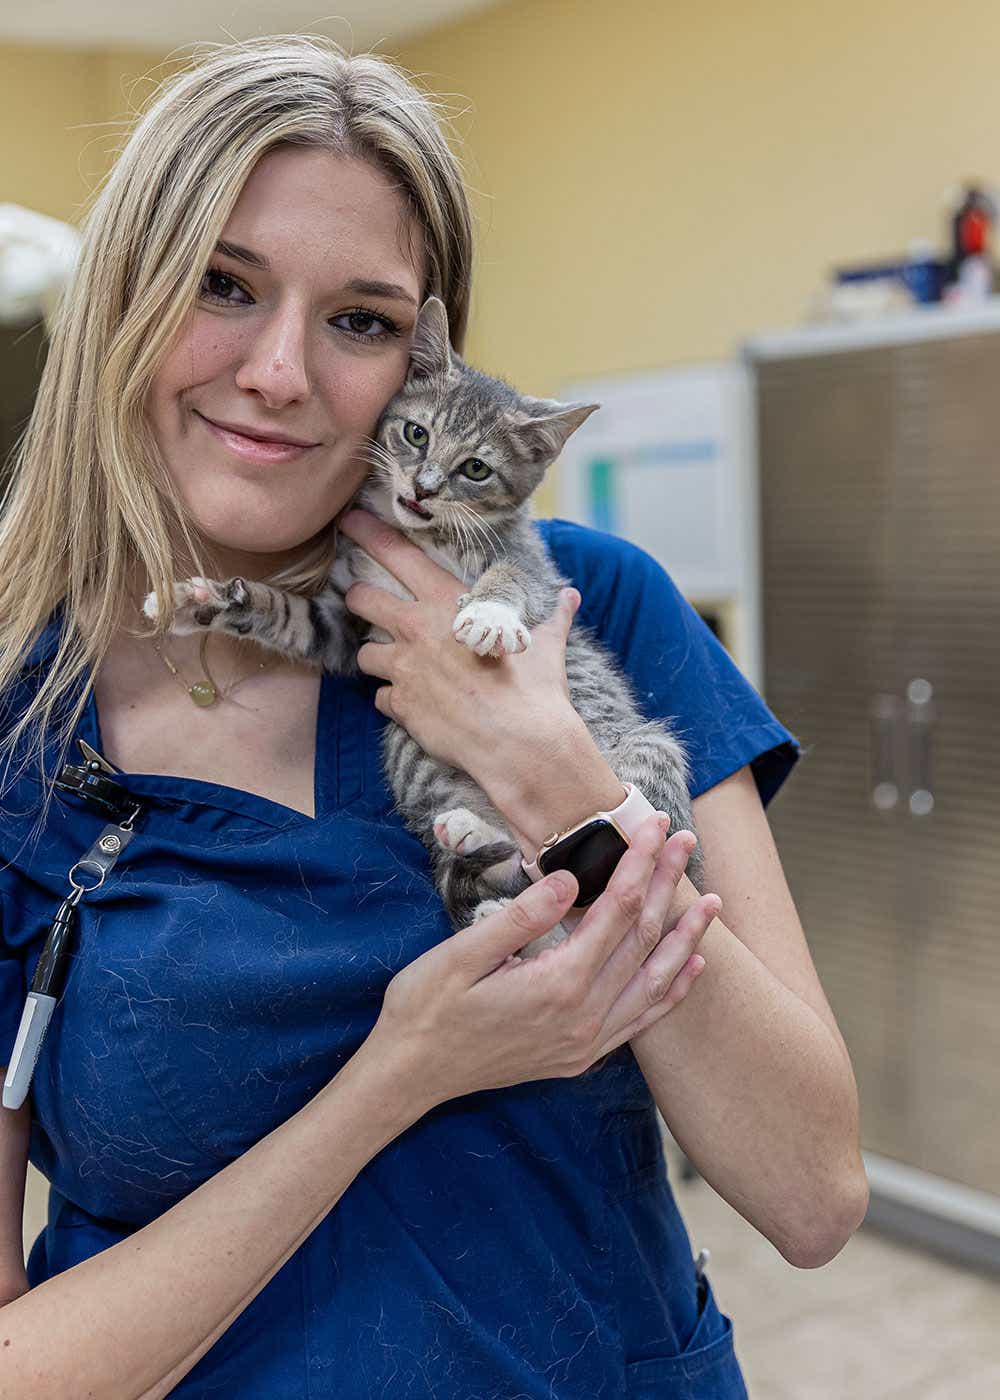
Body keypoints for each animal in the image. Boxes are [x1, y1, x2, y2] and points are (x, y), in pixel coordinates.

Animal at [144, 294, 700, 952]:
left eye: (477, 469)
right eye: (416, 433)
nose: (424, 488)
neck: (423, 538)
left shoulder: (537, 568)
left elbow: (515, 577)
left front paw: (489, 614)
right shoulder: (346, 621)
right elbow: (286, 614)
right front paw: (200, 601)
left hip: (648, 752)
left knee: (624, 857)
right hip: (413, 748)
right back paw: (477, 848)